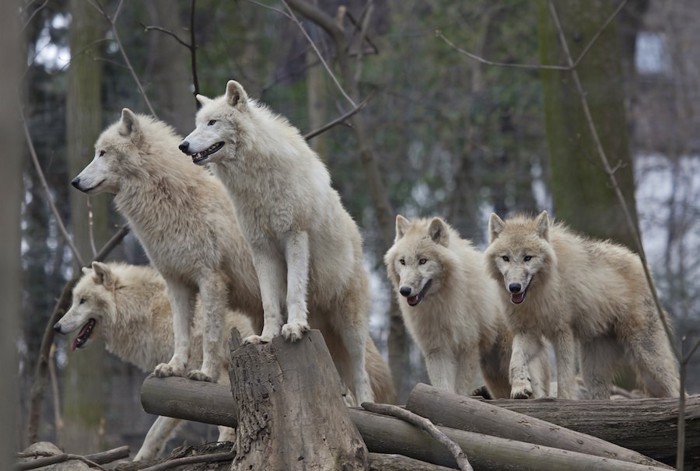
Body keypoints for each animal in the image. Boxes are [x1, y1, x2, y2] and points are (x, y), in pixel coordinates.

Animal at [54, 264, 258, 462]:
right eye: (74, 300)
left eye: (83, 300)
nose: (56, 327)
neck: (150, 312)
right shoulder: (178, 387)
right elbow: (154, 432)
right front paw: (140, 460)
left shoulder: (215, 378)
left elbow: (227, 425)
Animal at [72, 109, 394, 406]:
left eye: (102, 153)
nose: (75, 181)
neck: (173, 202)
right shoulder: (176, 282)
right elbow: (181, 333)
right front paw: (174, 367)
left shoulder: (211, 278)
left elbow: (210, 334)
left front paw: (204, 374)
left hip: (349, 326)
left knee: (361, 374)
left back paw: (367, 405)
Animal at [386, 217, 548, 398]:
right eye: (402, 261)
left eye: (423, 261)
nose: (405, 290)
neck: (441, 302)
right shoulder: (436, 349)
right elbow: (442, 386)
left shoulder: (467, 347)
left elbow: (460, 388)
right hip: (493, 373)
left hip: (508, 354)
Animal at [486, 212, 680, 400]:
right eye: (506, 258)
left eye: (527, 258)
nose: (514, 287)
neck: (538, 294)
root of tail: (640, 262)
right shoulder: (527, 331)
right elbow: (515, 359)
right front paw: (520, 387)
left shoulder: (563, 331)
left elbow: (565, 375)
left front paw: (564, 399)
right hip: (593, 372)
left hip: (647, 357)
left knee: (674, 388)